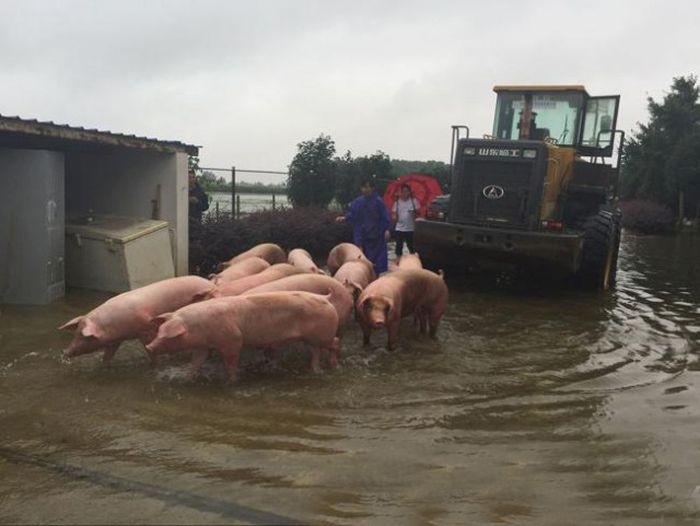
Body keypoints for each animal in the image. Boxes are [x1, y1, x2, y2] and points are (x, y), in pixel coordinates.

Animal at [60, 274, 216, 366]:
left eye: (84, 336)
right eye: (76, 333)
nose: (65, 352)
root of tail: (211, 283)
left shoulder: (145, 328)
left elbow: (149, 348)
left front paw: (155, 365)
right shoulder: (114, 341)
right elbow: (107, 356)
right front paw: (104, 366)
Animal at [145, 290, 340, 382]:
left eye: (168, 336)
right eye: (159, 332)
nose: (149, 347)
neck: (199, 328)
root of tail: (326, 298)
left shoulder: (232, 340)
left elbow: (231, 362)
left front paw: (231, 381)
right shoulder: (202, 346)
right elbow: (197, 362)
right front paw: (188, 377)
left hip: (322, 334)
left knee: (336, 342)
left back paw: (333, 366)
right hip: (311, 338)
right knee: (316, 351)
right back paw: (316, 370)